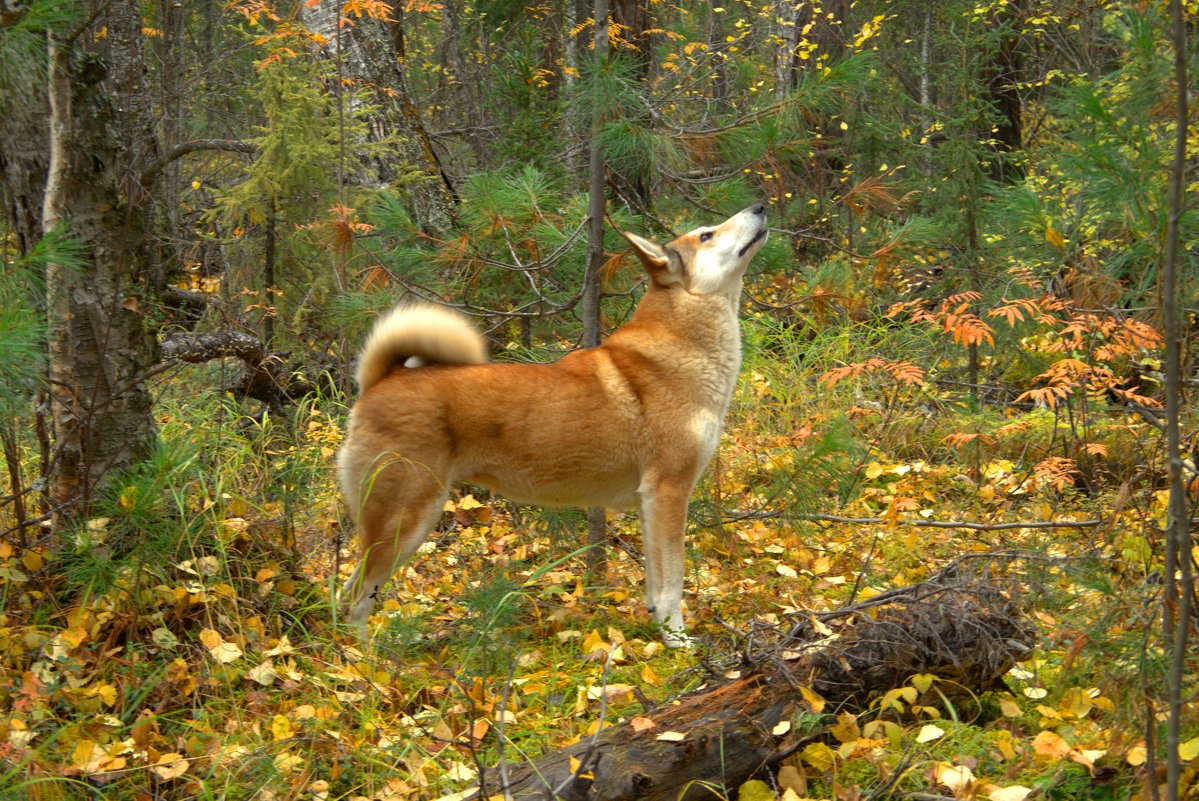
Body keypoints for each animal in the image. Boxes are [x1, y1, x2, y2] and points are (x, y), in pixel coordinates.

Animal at [338, 205, 767, 642]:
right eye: (706, 235)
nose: (759, 207)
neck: (683, 349)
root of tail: (382, 379)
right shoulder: (669, 492)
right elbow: (673, 584)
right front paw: (678, 641)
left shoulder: (650, 502)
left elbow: (655, 582)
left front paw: (659, 630)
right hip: (404, 518)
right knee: (354, 594)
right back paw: (363, 656)